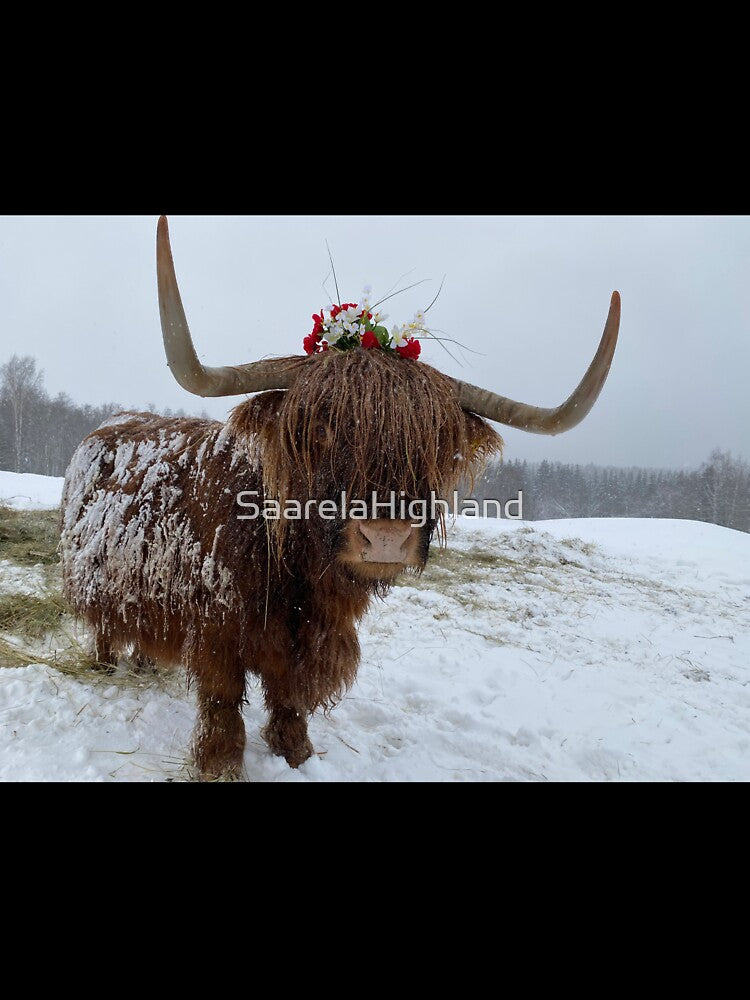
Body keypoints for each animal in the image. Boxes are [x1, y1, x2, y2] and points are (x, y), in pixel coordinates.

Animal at [59, 216, 620, 780]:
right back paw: (106, 664)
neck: (295, 568)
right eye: (322, 430)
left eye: (436, 443)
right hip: (100, 582)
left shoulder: (309, 641)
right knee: (106, 627)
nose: (386, 538)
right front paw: (219, 764)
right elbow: (222, 702)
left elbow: (290, 700)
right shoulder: (217, 629)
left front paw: (297, 754)